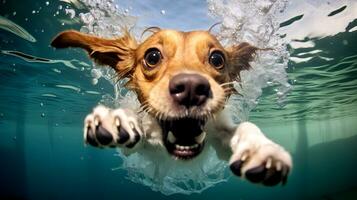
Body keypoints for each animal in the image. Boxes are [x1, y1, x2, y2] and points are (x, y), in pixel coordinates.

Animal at [51, 27, 290, 186]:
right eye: (153, 56)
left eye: (217, 59)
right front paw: (116, 119)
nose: (191, 88)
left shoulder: (219, 137)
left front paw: (262, 150)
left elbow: (247, 127)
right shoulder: (134, 146)